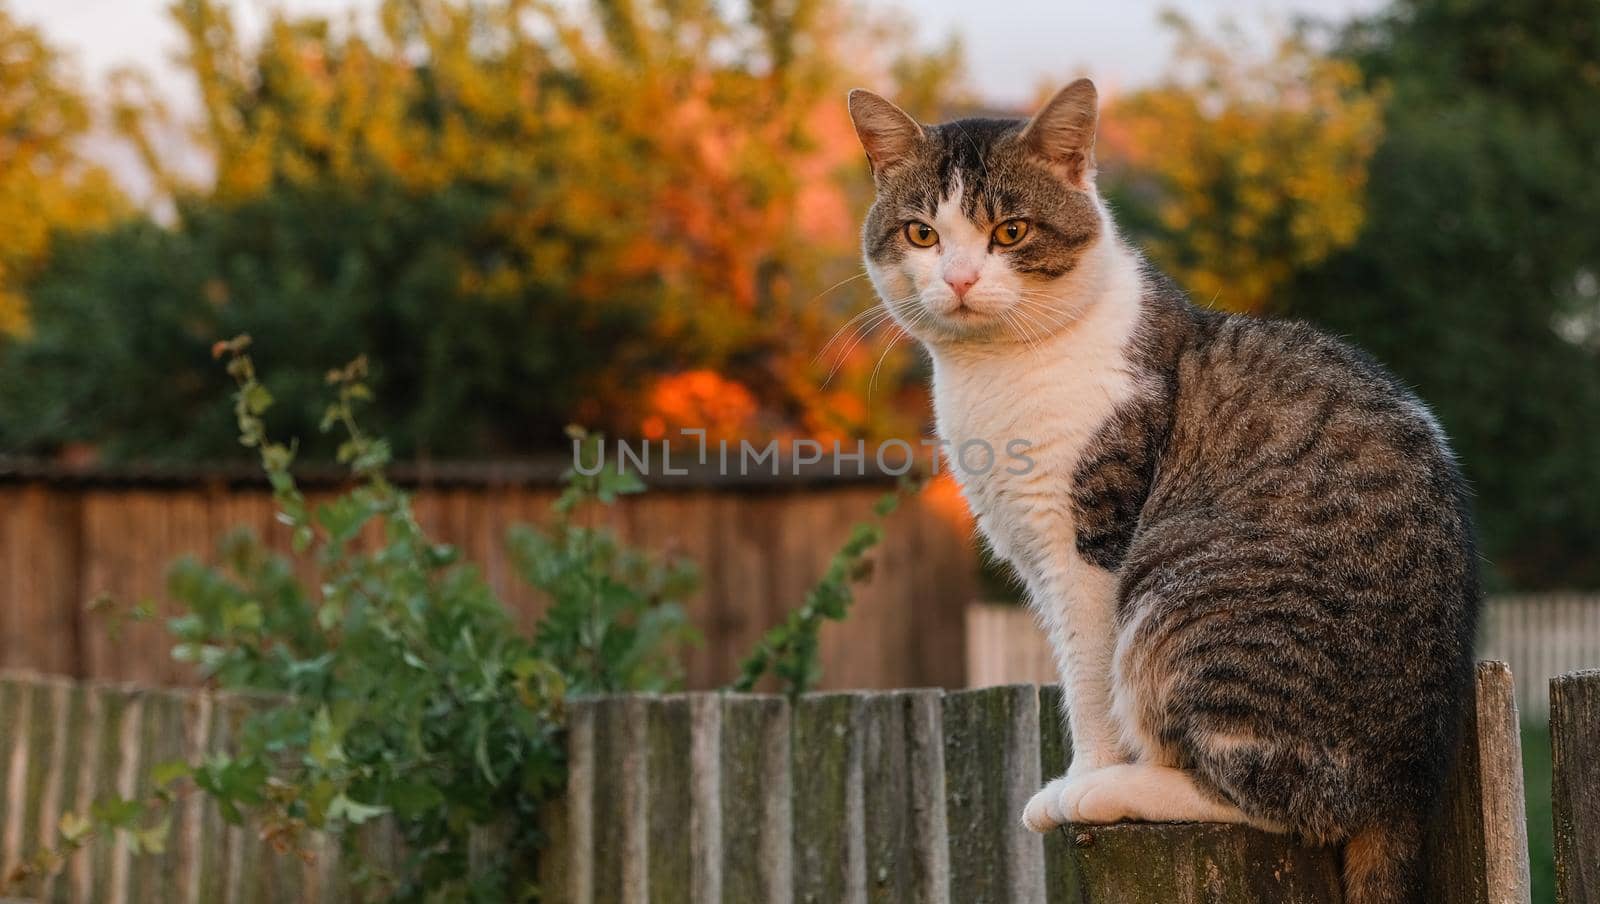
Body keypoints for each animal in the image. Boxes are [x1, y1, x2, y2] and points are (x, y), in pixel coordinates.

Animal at [844, 79, 1478, 902]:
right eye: (922, 235)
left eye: (1010, 231)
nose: (958, 278)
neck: (995, 372)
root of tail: (1407, 787)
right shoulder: (1033, 557)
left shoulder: (1087, 544)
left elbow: (1088, 682)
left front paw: (1084, 774)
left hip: (1187, 594)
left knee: (1274, 799)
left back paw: (1112, 791)